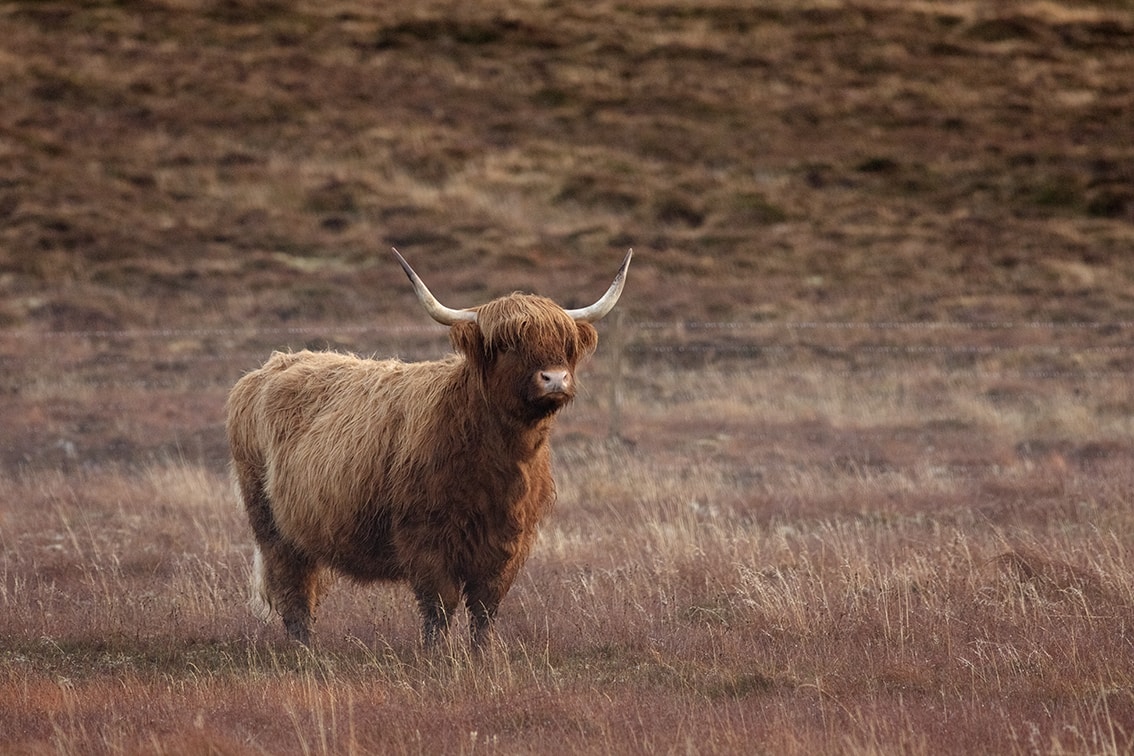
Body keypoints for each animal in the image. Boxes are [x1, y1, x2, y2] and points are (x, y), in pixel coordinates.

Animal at [223, 249, 630, 652]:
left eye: (565, 344)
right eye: (507, 344)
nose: (555, 379)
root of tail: (271, 366)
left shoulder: (508, 543)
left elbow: (485, 607)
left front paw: (481, 655)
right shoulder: (425, 539)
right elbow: (440, 606)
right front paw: (437, 657)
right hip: (271, 527)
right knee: (293, 591)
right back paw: (305, 652)